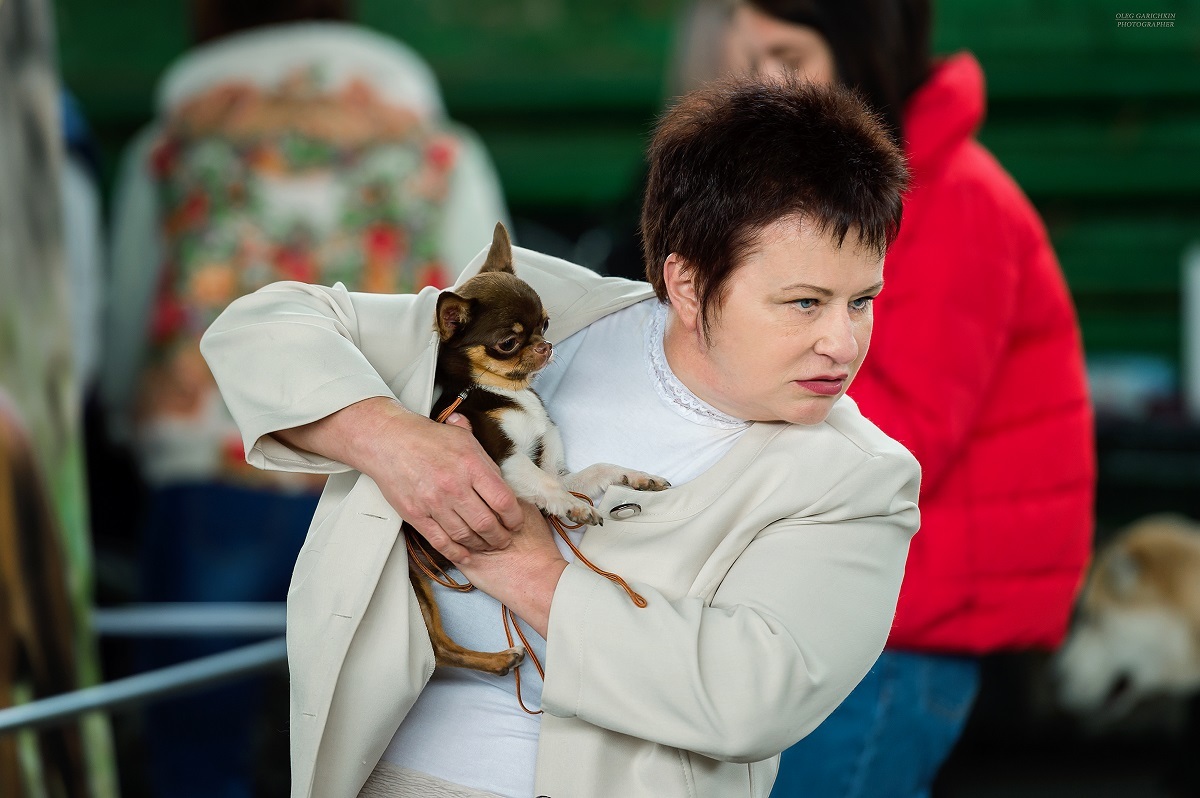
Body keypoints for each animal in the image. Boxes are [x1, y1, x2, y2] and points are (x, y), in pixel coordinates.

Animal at [403, 220, 667, 676]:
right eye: (508, 343)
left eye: (544, 325)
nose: (546, 346)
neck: (505, 393)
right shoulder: (503, 461)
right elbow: (547, 486)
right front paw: (574, 506)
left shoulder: (557, 467)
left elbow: (594, 470)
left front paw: (637, 477)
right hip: (417, 581)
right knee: (436, 648)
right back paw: (497, 659)